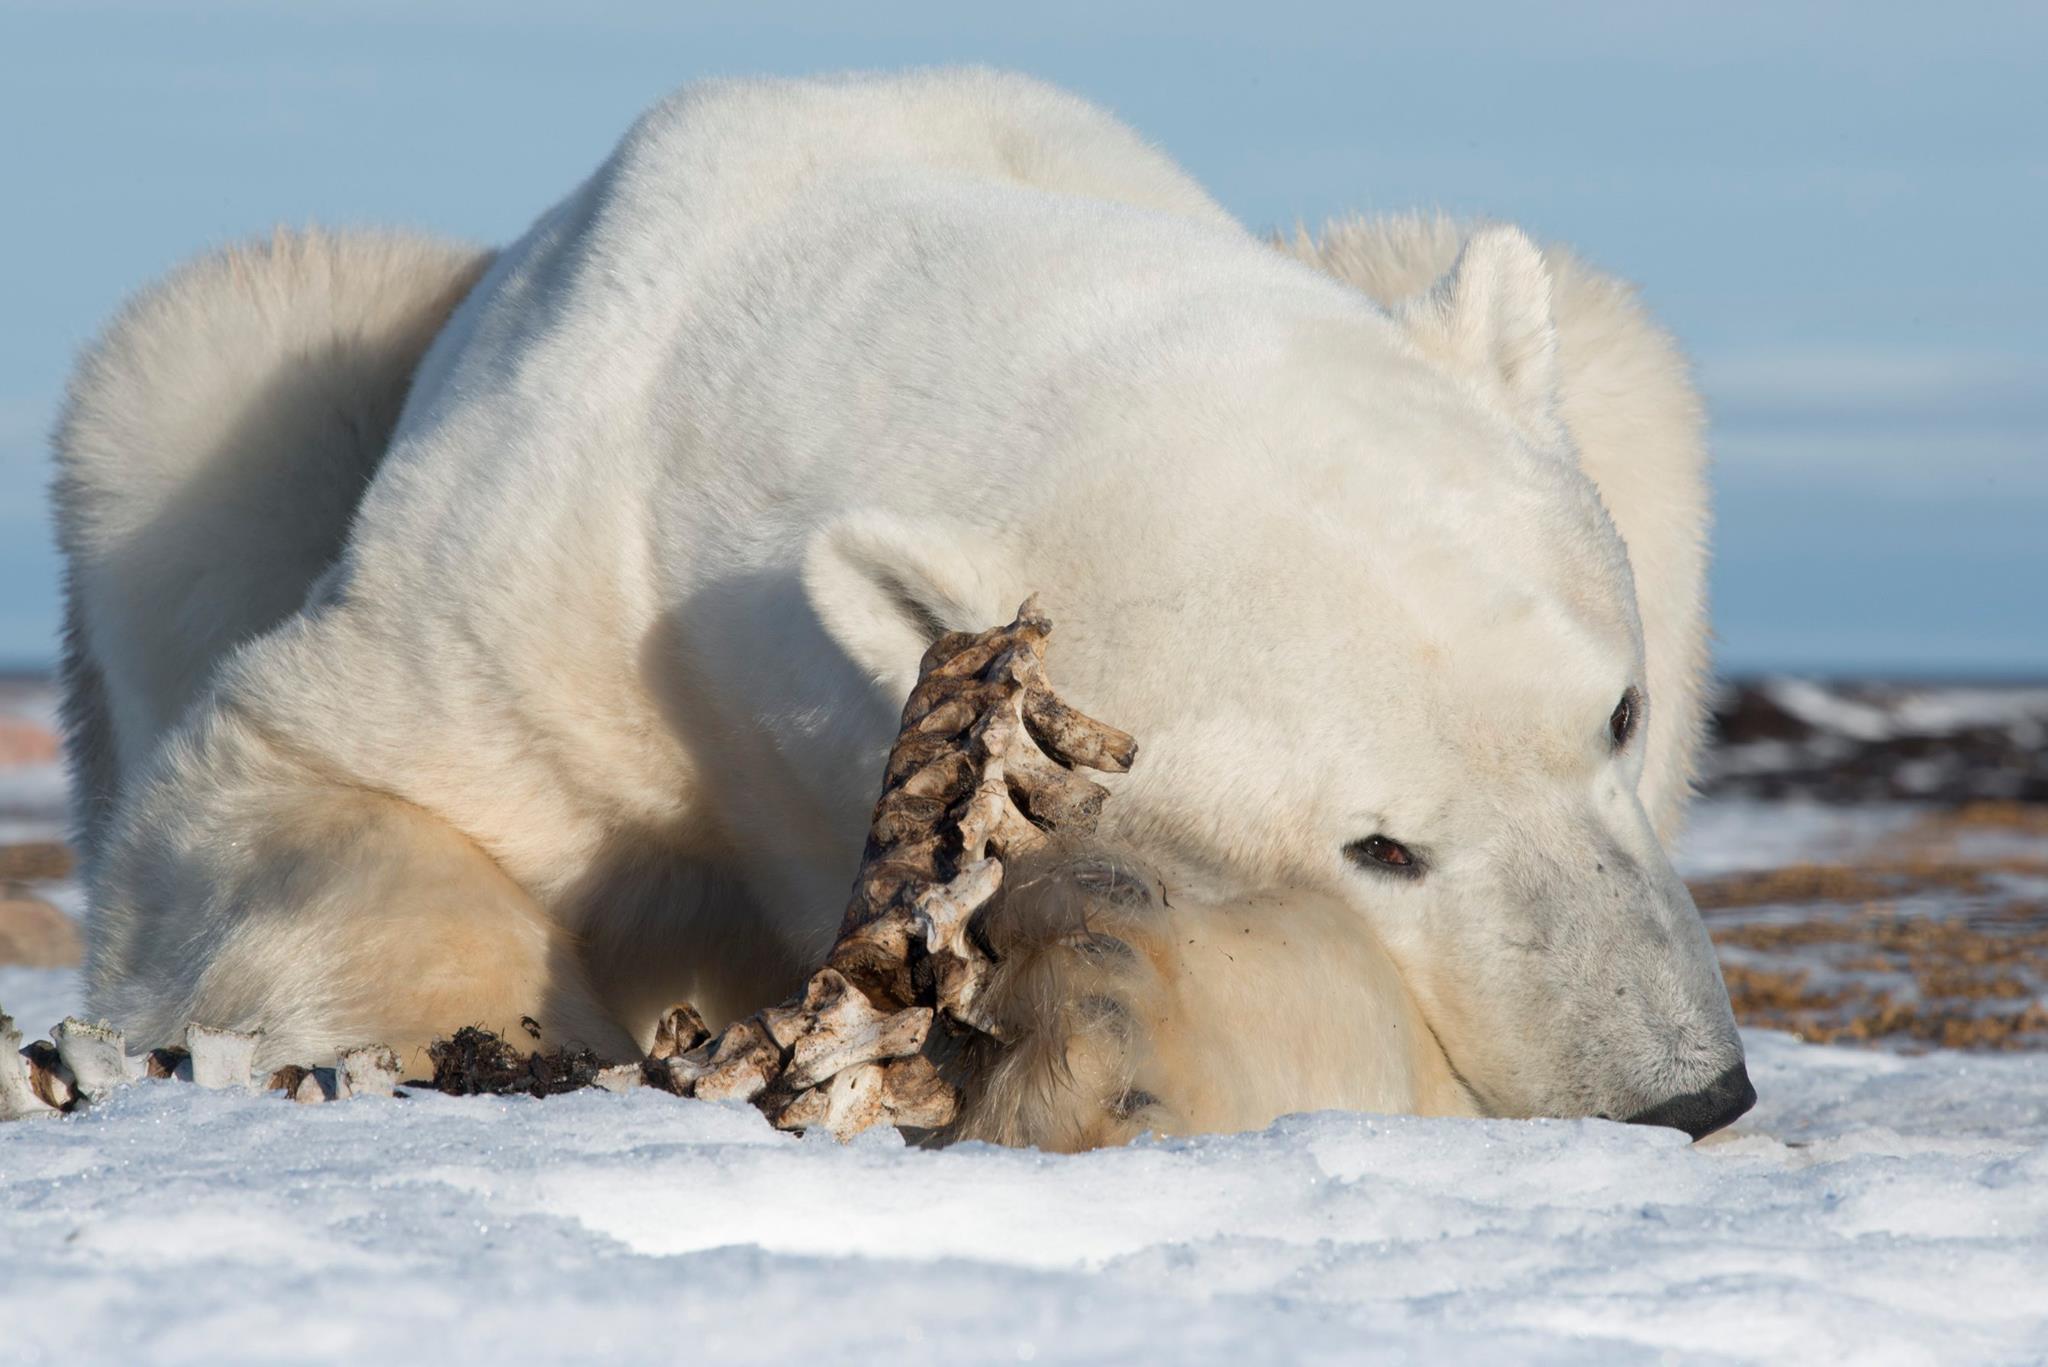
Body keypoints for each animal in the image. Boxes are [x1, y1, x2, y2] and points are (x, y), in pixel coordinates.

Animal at [51, 69, 1744, 1147]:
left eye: (1619, 710)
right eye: (1378, 842)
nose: (1689, 1089)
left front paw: (1105, 1035)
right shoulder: (534, 593)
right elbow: (298, 780)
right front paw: (474, 1054)